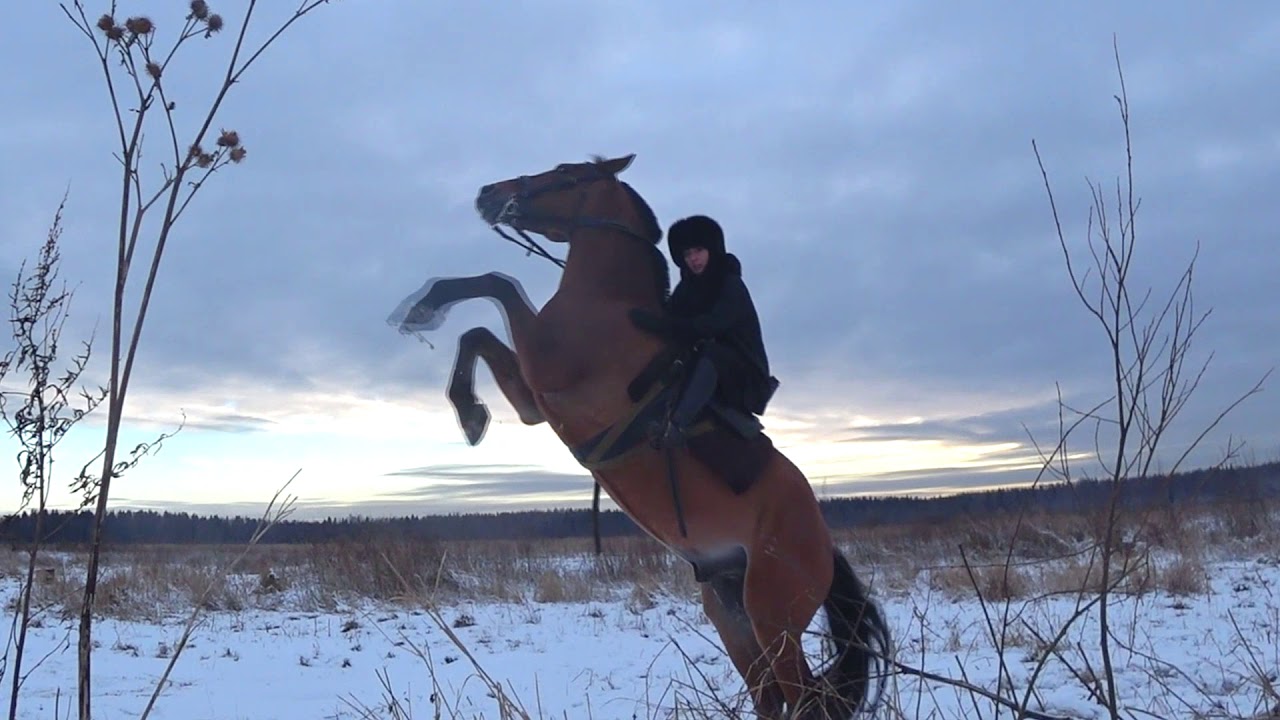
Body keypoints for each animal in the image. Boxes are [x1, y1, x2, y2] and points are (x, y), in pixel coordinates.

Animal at [389, 154, 890, 712]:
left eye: (563, 171)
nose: (488, 193)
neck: (606, 302)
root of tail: (824, 547)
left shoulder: (546, 367)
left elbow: (499, 283)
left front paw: (424, 316)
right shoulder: (533, 400)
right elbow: (480, 325)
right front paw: (468, 405)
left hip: (771, 617)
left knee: (804, 696)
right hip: (731, 610)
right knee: (773, 697)